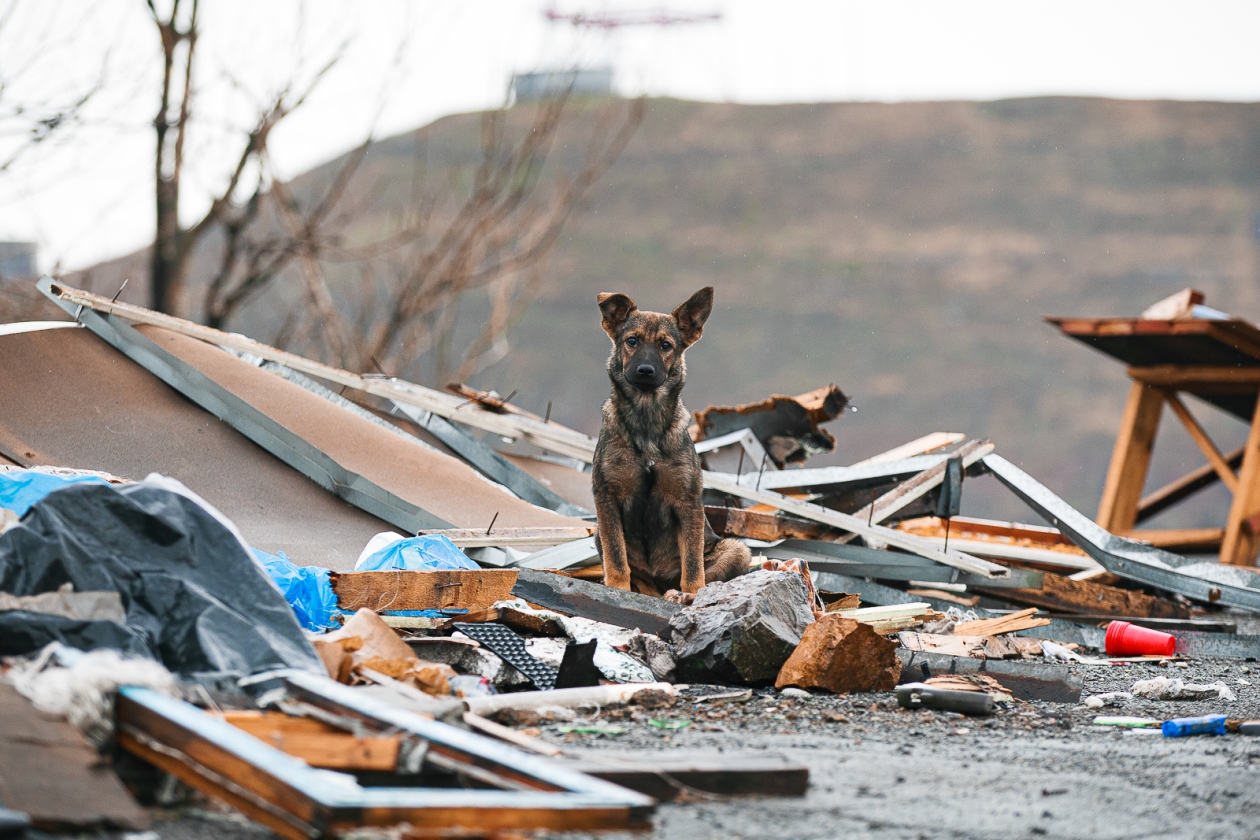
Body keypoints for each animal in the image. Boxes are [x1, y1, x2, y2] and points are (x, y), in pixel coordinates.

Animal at [589, 287, 745, 596]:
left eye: (665, 345)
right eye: (632, 341)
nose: (645, 371)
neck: (646, 418)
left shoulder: (688, 500)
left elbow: (693, 564)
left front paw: (693, 595)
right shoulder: (607, 497)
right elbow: (617, 559)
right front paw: (617, 590)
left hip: (737, 549)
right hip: (600, 537)